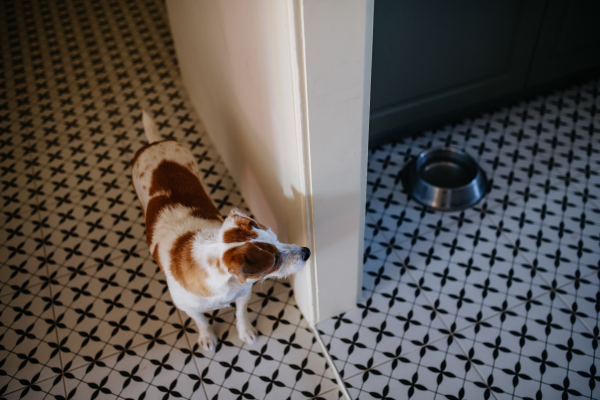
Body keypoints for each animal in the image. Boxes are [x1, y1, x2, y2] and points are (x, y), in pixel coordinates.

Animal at [131, 111, 310, 350]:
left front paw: (245, 331)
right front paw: (207, 337)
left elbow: (241, 313)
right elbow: (201, 321)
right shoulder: (190, 308)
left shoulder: (243, 293)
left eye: (277, 238)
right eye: (274, 261)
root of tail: (155, 143)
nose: (307, 252)